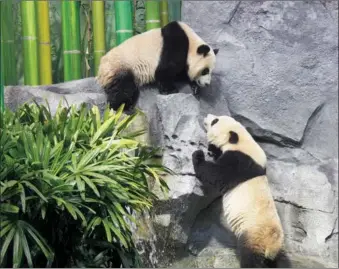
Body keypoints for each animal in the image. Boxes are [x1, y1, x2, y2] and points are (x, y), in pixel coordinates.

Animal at [193, 114, 286, 266]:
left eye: (215, 121)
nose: (207, 116)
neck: (243, 142)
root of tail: (271, 247)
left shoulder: (240, 161)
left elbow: (217, 175)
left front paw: (199, 154)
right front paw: (212, 151)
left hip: (253, 237)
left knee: (250, 258)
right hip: (274, 252)